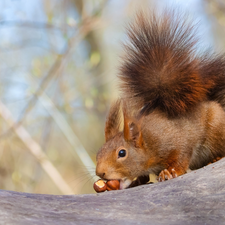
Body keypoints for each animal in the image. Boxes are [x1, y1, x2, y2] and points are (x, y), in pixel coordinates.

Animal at [95, 9, 225, 189]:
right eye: (98, 152)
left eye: (122, 153)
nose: (100, 173)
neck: (148, 144)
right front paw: (137, 181)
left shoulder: (176, 140)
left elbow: (181, 156)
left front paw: (170, 172)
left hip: (217, 130)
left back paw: (216, 158)